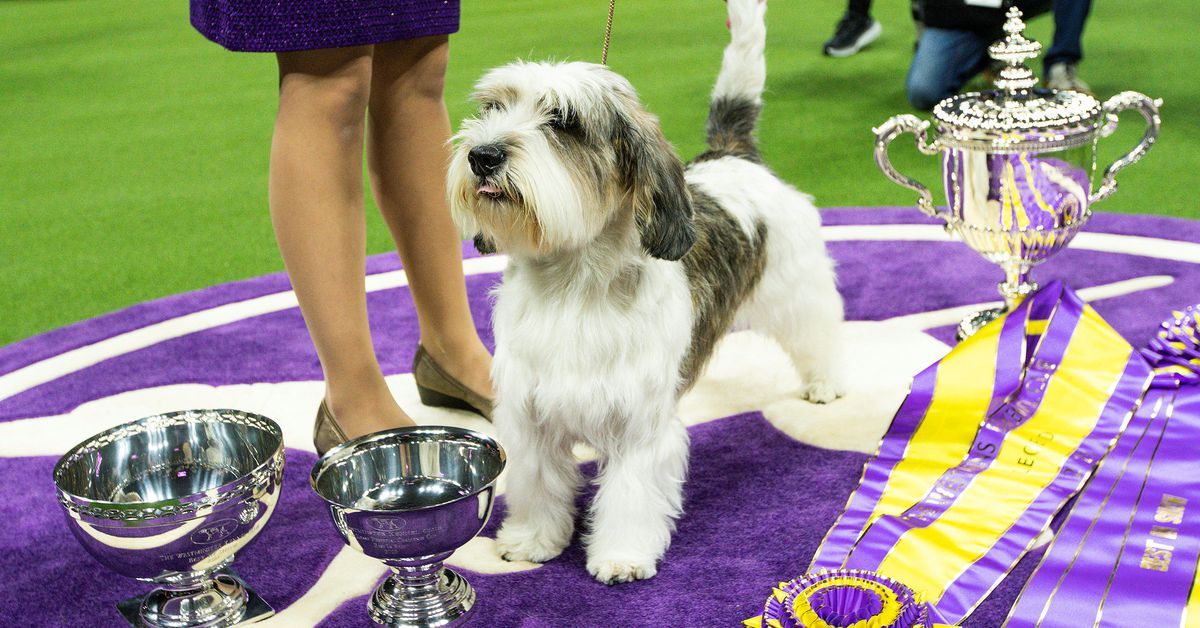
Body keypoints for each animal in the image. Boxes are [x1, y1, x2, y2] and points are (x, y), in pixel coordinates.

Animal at [448, 0, 844, 585]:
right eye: (493, 108)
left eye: (563, 122)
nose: (483, 154)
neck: (574, 287)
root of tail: (732, 155)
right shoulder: (530, 417)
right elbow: (540, 484)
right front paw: (533, 541)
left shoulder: (638, 427)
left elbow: (630, 496)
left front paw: (621, 556)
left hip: (798, 288)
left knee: (818, 334)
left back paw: (826, 382)